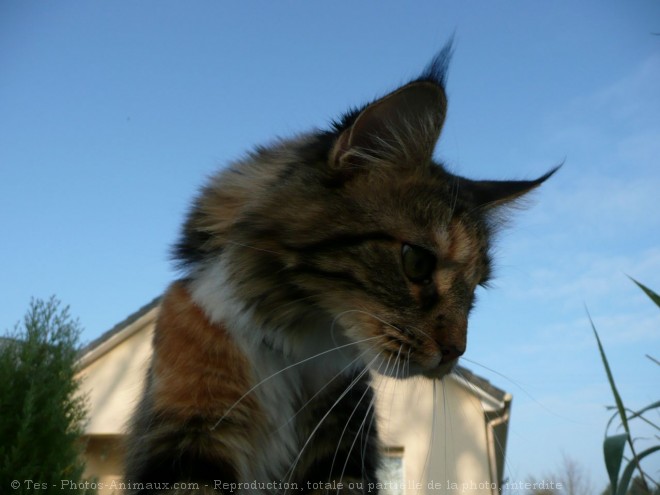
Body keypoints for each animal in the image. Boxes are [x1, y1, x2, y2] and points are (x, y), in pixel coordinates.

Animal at [124, 43, 556, 495]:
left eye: (473, 291)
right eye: (417, 262)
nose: (456, 352)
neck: (292, 346)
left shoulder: (343, 448)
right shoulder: (190, 433)